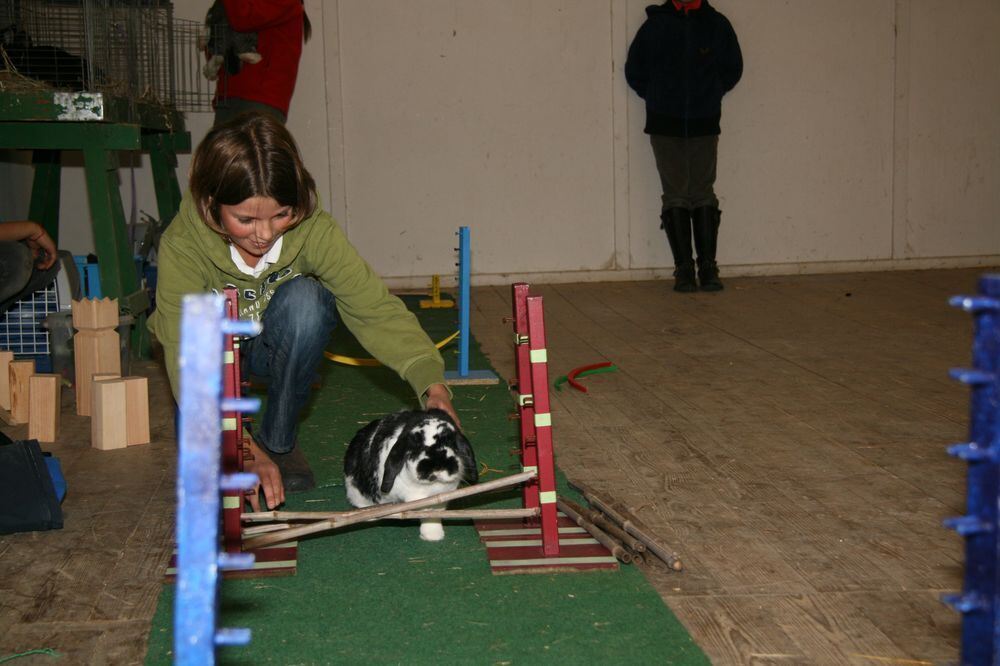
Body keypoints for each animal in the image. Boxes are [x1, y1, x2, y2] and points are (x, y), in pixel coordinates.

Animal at [346, 404, 478, 540]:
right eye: (416, 445)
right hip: (356, 491)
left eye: (452, 442)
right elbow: (422, 507)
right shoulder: (412, 494)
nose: (437, 467)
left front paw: (433, 536)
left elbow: (433, 515)